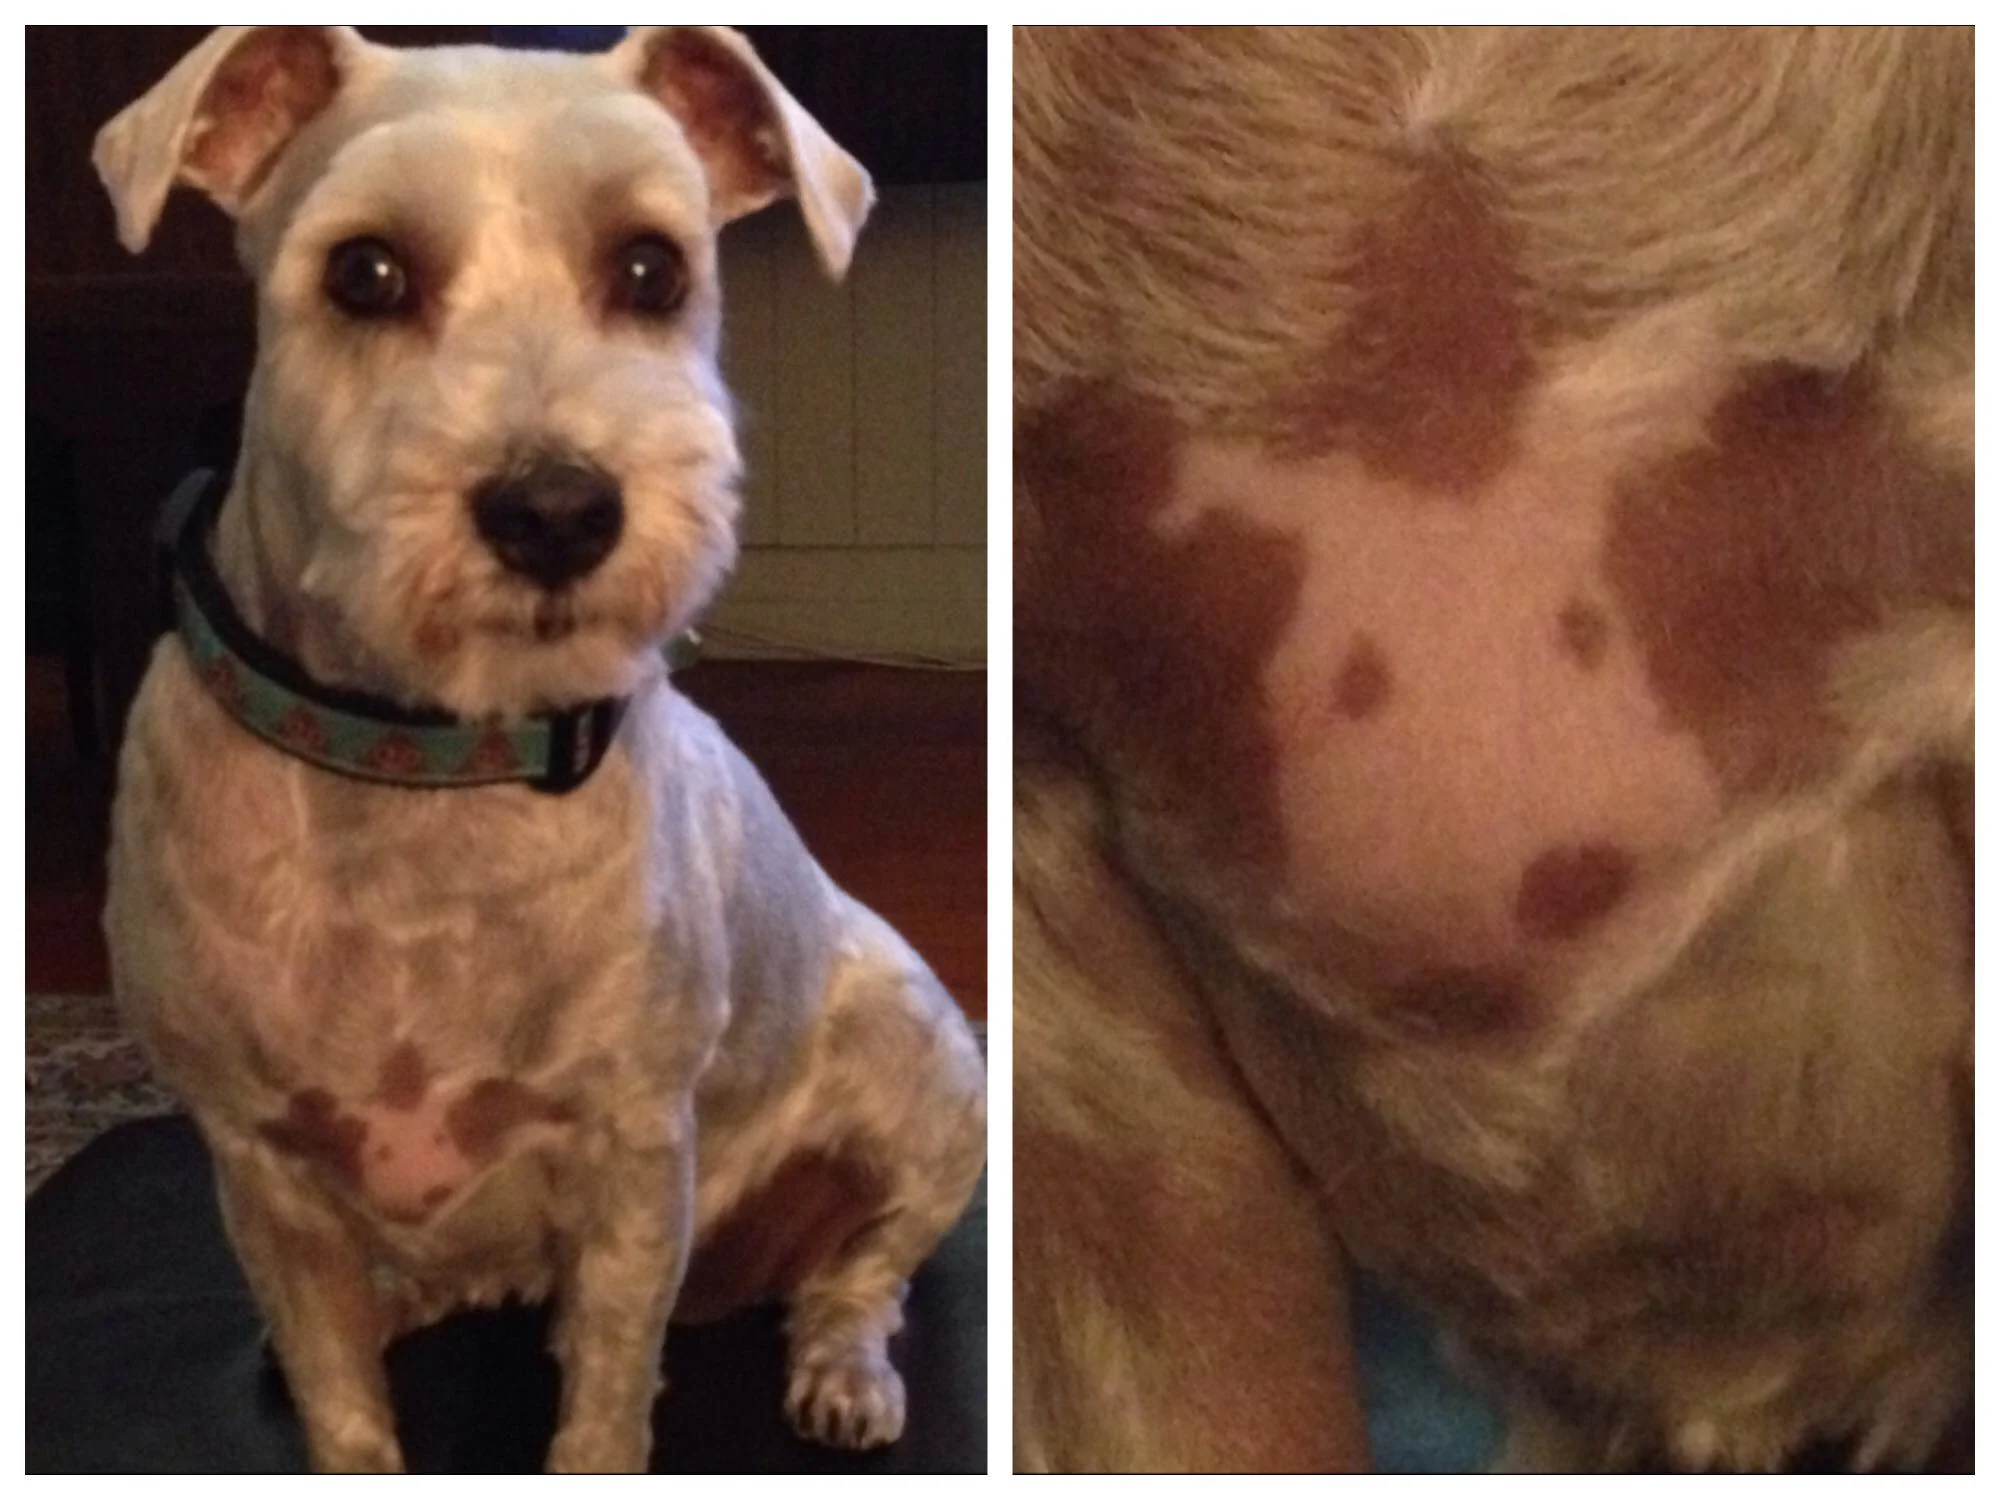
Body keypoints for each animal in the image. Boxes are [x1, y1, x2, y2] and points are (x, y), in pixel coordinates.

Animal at [94, 26, 984, 1480]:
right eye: (364, 271)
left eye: (652, 268)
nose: (559, 510)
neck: (429, 757)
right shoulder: (262, 1175)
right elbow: (343, 1406)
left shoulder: (631, 1159)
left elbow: (608, 1396)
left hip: (926, 1085)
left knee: (865, 1271)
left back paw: (842, 1366)